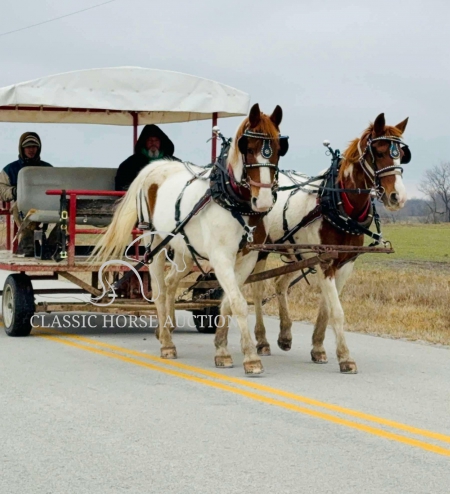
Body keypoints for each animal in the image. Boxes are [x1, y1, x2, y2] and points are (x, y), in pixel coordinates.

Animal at [92, 103, 286, 374]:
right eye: (247, 148)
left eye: (279, 149)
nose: (265, 200)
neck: (233, 200)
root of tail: (156, 167)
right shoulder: (221, 257)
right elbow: (237, 302)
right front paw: (251, 358)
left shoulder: (247, 258)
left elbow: (227, 302)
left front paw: (222, 350)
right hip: (154, 244)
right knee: (159, 290)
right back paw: (166, 343)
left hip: (185, 250)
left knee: (172, 281)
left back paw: (167, 327)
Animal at [251, 112, 410, 372]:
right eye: (378, 152)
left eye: (401, 154)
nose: (398, 197)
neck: (340, 206)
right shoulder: (325, 263)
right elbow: (337, 311)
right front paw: (345, 357)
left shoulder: (343, 263)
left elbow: (326, 309)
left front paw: (318, 348)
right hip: (260, 251)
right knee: (257, 290)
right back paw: (262, 340)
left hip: (297, 254)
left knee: (279, 284)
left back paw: (285, 335)